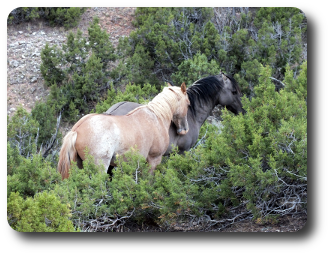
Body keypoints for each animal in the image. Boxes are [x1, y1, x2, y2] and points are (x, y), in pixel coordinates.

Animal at [58, 83, 189, 179]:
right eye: (188, 103)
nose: (184, 130)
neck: (156, 116)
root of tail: (77, 130)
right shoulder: (154, 159)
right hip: (100, 167)